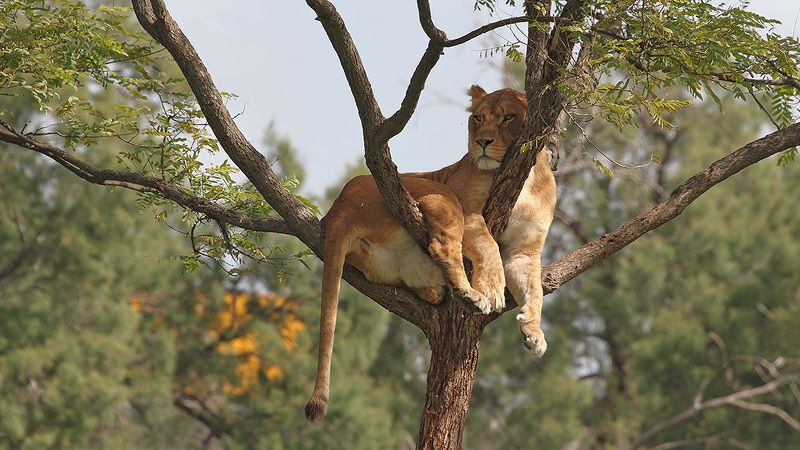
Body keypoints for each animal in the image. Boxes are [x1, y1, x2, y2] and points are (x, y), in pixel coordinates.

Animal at [305, 86, 556, 421]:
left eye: (508, 118)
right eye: (478, 118)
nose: (482, 142)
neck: (529, 177)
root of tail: (336, 212)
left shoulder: (525, 252)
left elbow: (535, 291)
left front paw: (534, 333)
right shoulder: (471, 210)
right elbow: (488, 247)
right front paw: (492, 290)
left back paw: (438, 290)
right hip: (439, 193)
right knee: (444, 247)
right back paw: (471, 295)